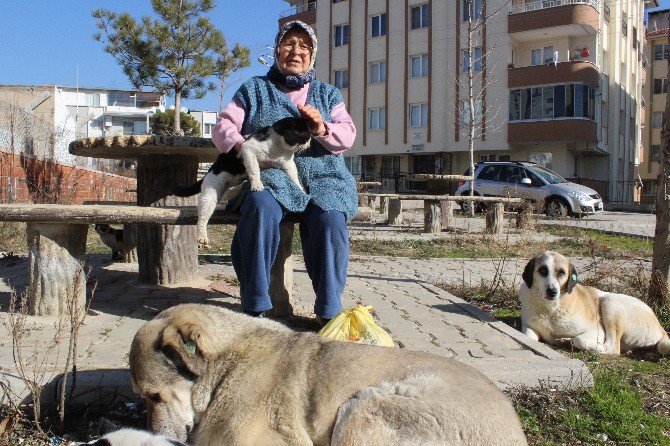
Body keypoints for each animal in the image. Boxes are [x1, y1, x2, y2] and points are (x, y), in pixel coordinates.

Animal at [172, 116, 312, 247]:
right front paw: (257, 185)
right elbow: (254, 170)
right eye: (307, 135)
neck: (279, 148)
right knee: (202, 218)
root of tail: (211, 168)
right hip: (210, 195)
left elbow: (295, 178)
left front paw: (301, 189)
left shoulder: (288, 164)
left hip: (231, 182)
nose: (310, 143)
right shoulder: (248, 150)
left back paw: (239, 188)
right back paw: (202, 237)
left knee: (229, 192)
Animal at [520, 251, 670, 356]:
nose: (552, 291)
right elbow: (527, 337)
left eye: (561, 273)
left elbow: (579, 339)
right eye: (543, 270)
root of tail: (661, 328)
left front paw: (576, 341)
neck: (551, 309)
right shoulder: (528, 326)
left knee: (613, 347)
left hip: (610, 303)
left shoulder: (596, 329)